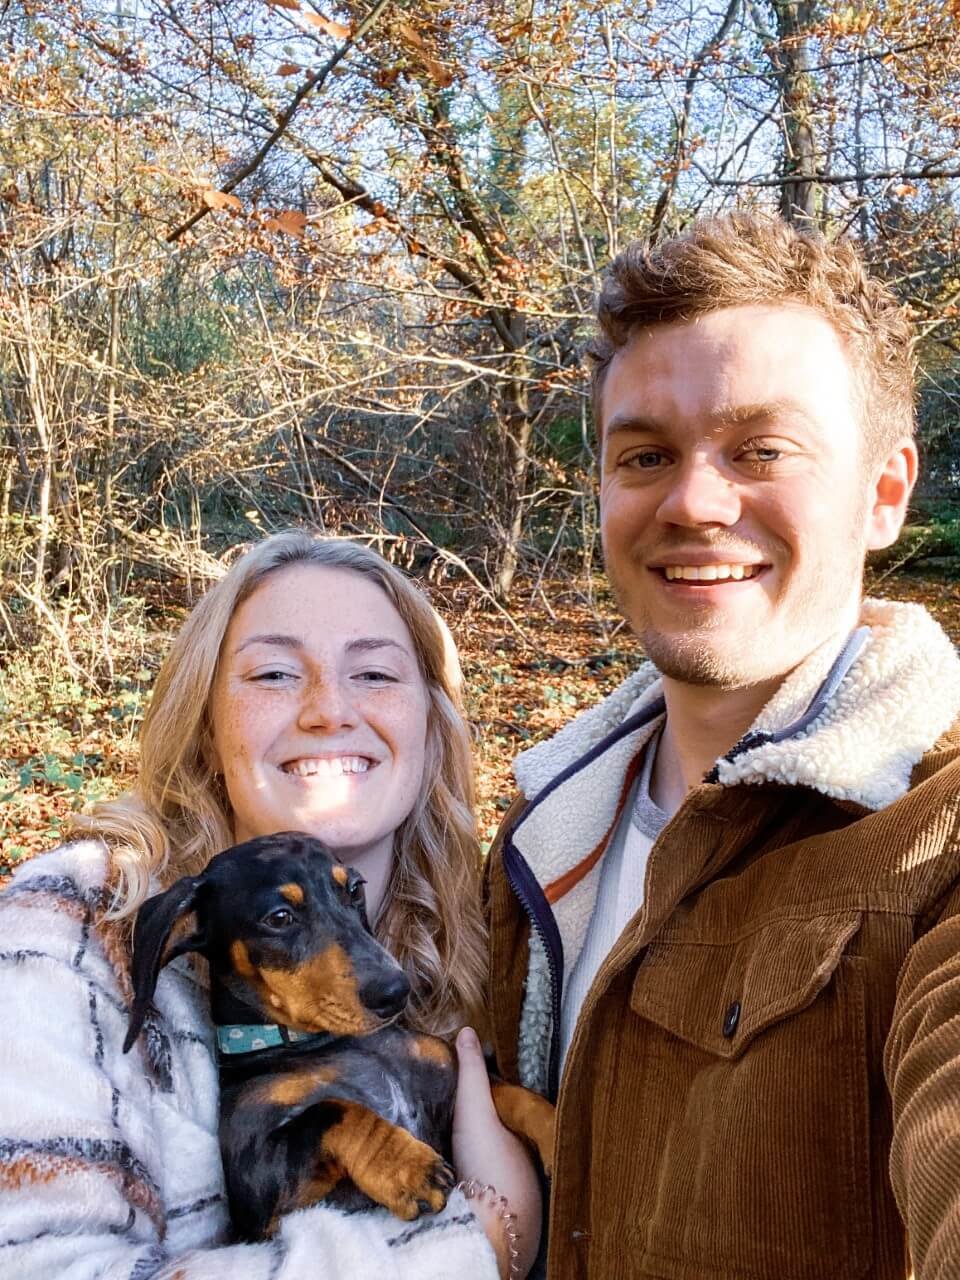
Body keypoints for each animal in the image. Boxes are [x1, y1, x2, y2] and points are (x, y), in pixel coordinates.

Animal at [124, 829, 555, 1239]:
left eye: (354, 889)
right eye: (279, 918)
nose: (395, 992)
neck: (328, 1043)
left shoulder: (451, 1073)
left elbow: (515, 1094)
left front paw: (556, 1133)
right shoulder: (260, 1194)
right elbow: (331, 1111)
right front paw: (406, 1165)